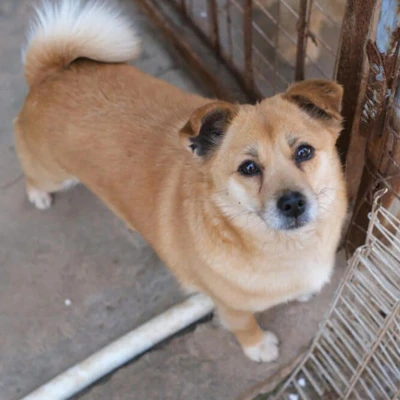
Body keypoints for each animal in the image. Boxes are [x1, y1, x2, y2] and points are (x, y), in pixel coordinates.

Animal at [15, 0, 346, 362]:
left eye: (304, 152)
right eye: (248, 168)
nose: (292, 203)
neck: (287, 247)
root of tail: (50, 73)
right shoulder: (230, 307)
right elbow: (245, 326)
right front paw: (258, 347)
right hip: (52, 173)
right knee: (31, 174)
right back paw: (37, 195)